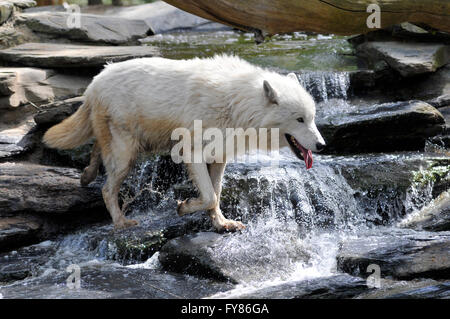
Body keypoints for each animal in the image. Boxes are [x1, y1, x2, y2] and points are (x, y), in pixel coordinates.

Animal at [44, 54, 326, 230]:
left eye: (312, 118)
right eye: (299, 119)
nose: (322, 145)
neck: (237, 104)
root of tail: (96, 80)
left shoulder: (220, 156)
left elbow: (216, 194)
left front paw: (221, 224)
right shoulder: (192, 153)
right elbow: (209, 196)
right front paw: (184, 208)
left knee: (96, 151)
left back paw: (86, 175)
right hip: (127, 155)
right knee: (106, 188)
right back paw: (121, 222)